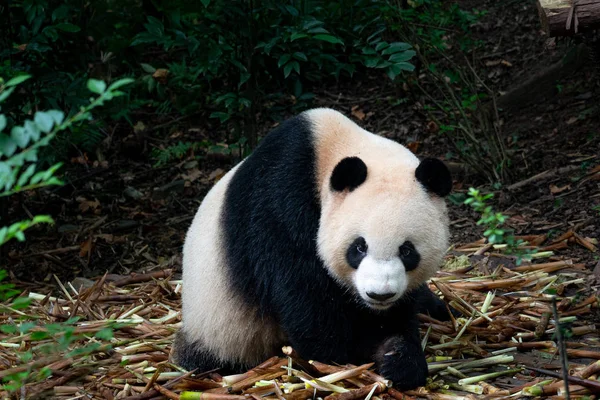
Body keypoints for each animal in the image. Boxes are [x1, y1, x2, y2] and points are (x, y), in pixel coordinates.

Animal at [173, 107, 454, 390]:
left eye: (407, 251)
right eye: (359, 247)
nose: (379, 294)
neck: (328, 148)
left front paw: (398, 356)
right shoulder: (279, 203)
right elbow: (304, 295)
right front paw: (355, 350)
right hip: (222, 327)